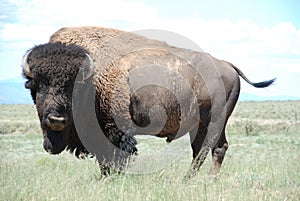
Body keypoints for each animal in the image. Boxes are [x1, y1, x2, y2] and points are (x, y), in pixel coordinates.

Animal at [22, 25, 276, 177]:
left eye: (71, 86)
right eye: (38, 84)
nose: (56, 119)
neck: (92, 77)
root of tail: (227, 66)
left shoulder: (113, 129)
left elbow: (114, 156)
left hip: (216, 120)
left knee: (215, 148)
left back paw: (204, 181)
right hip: (200, 124)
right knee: (203, 149)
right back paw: (189, 180)